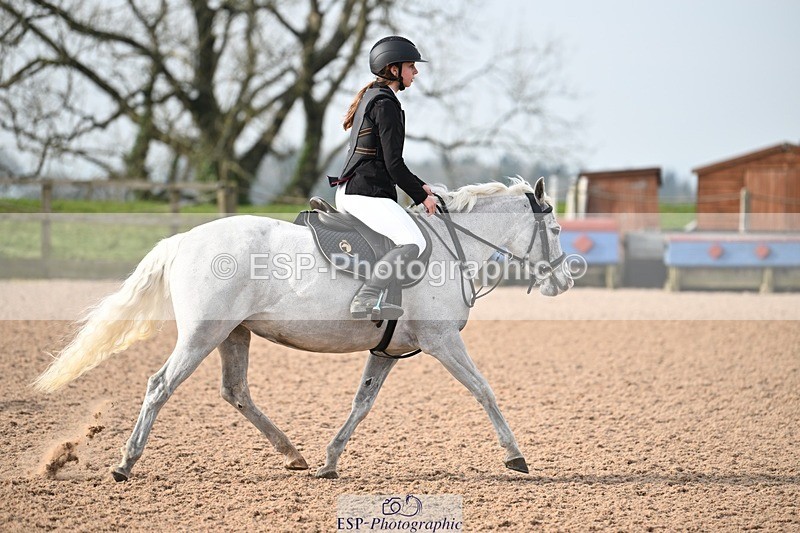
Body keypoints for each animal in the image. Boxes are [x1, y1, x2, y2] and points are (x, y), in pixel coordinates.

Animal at [33, 177, 573, 481]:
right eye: (556, 229)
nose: (565, 280)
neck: (448, 248)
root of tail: (184, 238)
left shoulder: (386, 352)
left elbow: (362, 404)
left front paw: (330, 461)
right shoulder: (443, 342)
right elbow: (484, 390)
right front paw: (515, 457)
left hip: (233, 334)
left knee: (235, 391)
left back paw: (292, 455)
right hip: (203, 334)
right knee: (160, 385)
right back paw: (125, 464)